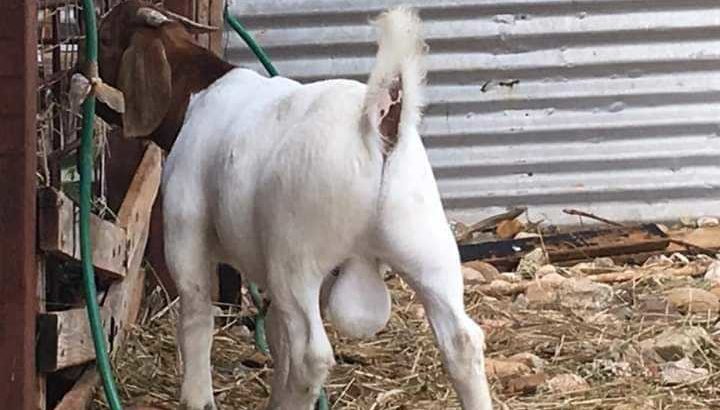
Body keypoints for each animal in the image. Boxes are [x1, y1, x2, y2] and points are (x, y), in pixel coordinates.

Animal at [92, 2, 493, 409]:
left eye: (105, 38)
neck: (197, 91)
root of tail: (376, 123)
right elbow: (276, 334)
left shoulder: (185, 227)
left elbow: (196, 311)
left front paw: (197, 397)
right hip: (425, 244)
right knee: (461, 340)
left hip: (298, 256)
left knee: (309, 355)